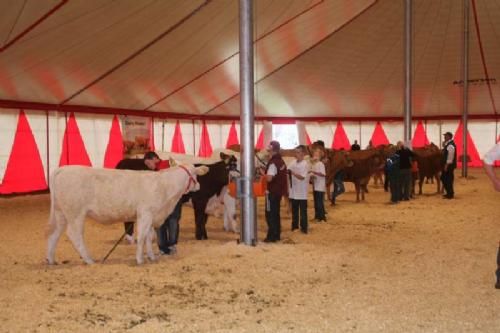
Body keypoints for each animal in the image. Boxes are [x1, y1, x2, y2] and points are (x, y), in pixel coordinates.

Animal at [47, 164, 207, 264]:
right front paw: (139, 259)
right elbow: (141, 237)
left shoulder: (151, 215)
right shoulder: (145, 213)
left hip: (61, 213)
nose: (199, 186)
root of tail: (62, 169)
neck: (164, 186)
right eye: (195, 175)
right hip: (76, 213)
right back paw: (88, 260)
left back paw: (50, 260)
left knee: (54, 234)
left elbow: (149, 237)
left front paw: (151, 257)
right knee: (74, 234)